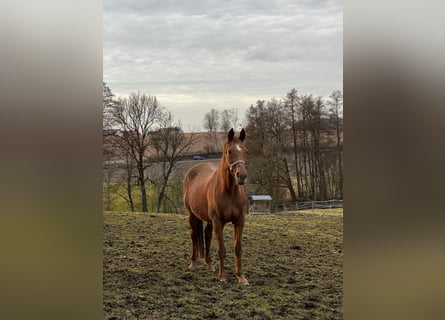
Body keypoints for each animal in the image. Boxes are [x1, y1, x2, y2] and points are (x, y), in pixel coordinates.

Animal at [182, 129, 248, 284]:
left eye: (245, 151)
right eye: (229, 151)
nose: (241, 176)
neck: (230, 192)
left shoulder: (239, 221)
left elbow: (238, 248)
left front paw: (241, 277)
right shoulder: (218, 222)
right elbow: (221, 249)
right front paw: (222, 276)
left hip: (209, 220)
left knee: (207, 235)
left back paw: (209, 264)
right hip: (192, 215)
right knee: (194, 235)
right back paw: (193, 263)